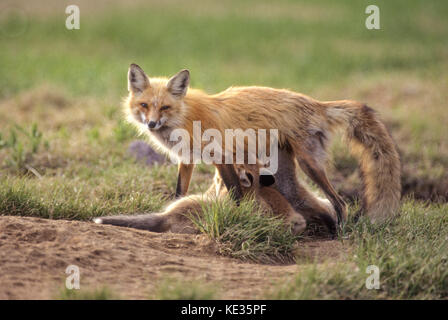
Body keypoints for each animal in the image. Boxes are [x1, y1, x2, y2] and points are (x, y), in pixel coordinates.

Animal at [125, 63, 402, 224]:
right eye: (144, 105)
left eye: (165, 107)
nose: (151, 124)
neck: (184, 117)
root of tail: (316, 103)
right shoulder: (189, 159)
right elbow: (180, 191)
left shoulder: (222, 156)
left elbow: (236, 192)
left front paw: (237, 216)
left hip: (310, 164)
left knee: (340, 203)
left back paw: (340, 233)